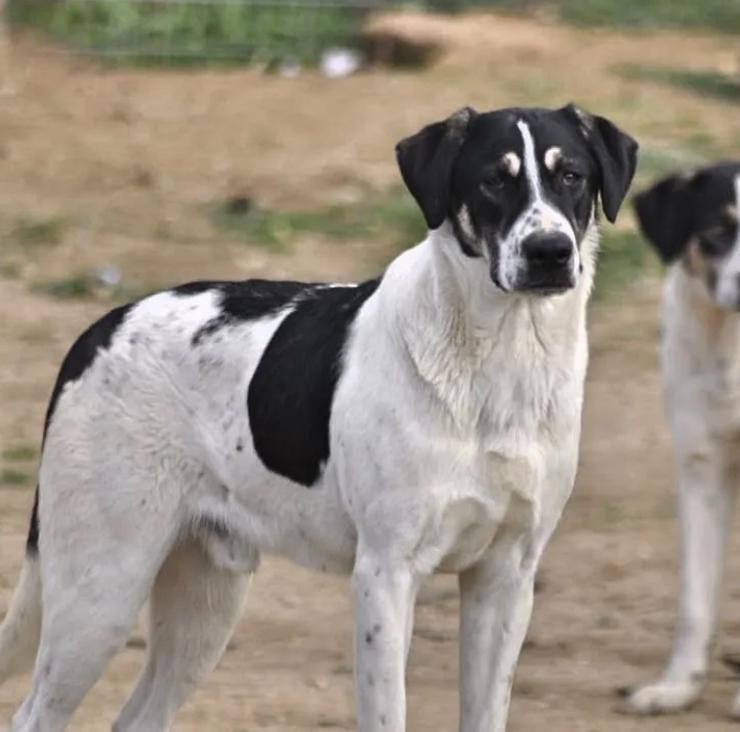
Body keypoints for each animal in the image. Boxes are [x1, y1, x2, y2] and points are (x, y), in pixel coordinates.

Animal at [0, 104, 636, 732]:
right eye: (492, 181)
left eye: (572, 175)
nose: (550, 252)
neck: (499, 359)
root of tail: (100, 329)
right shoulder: (384, 576)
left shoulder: (505, 578)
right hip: (102, 589)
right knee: (34, 712)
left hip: (204, 600)